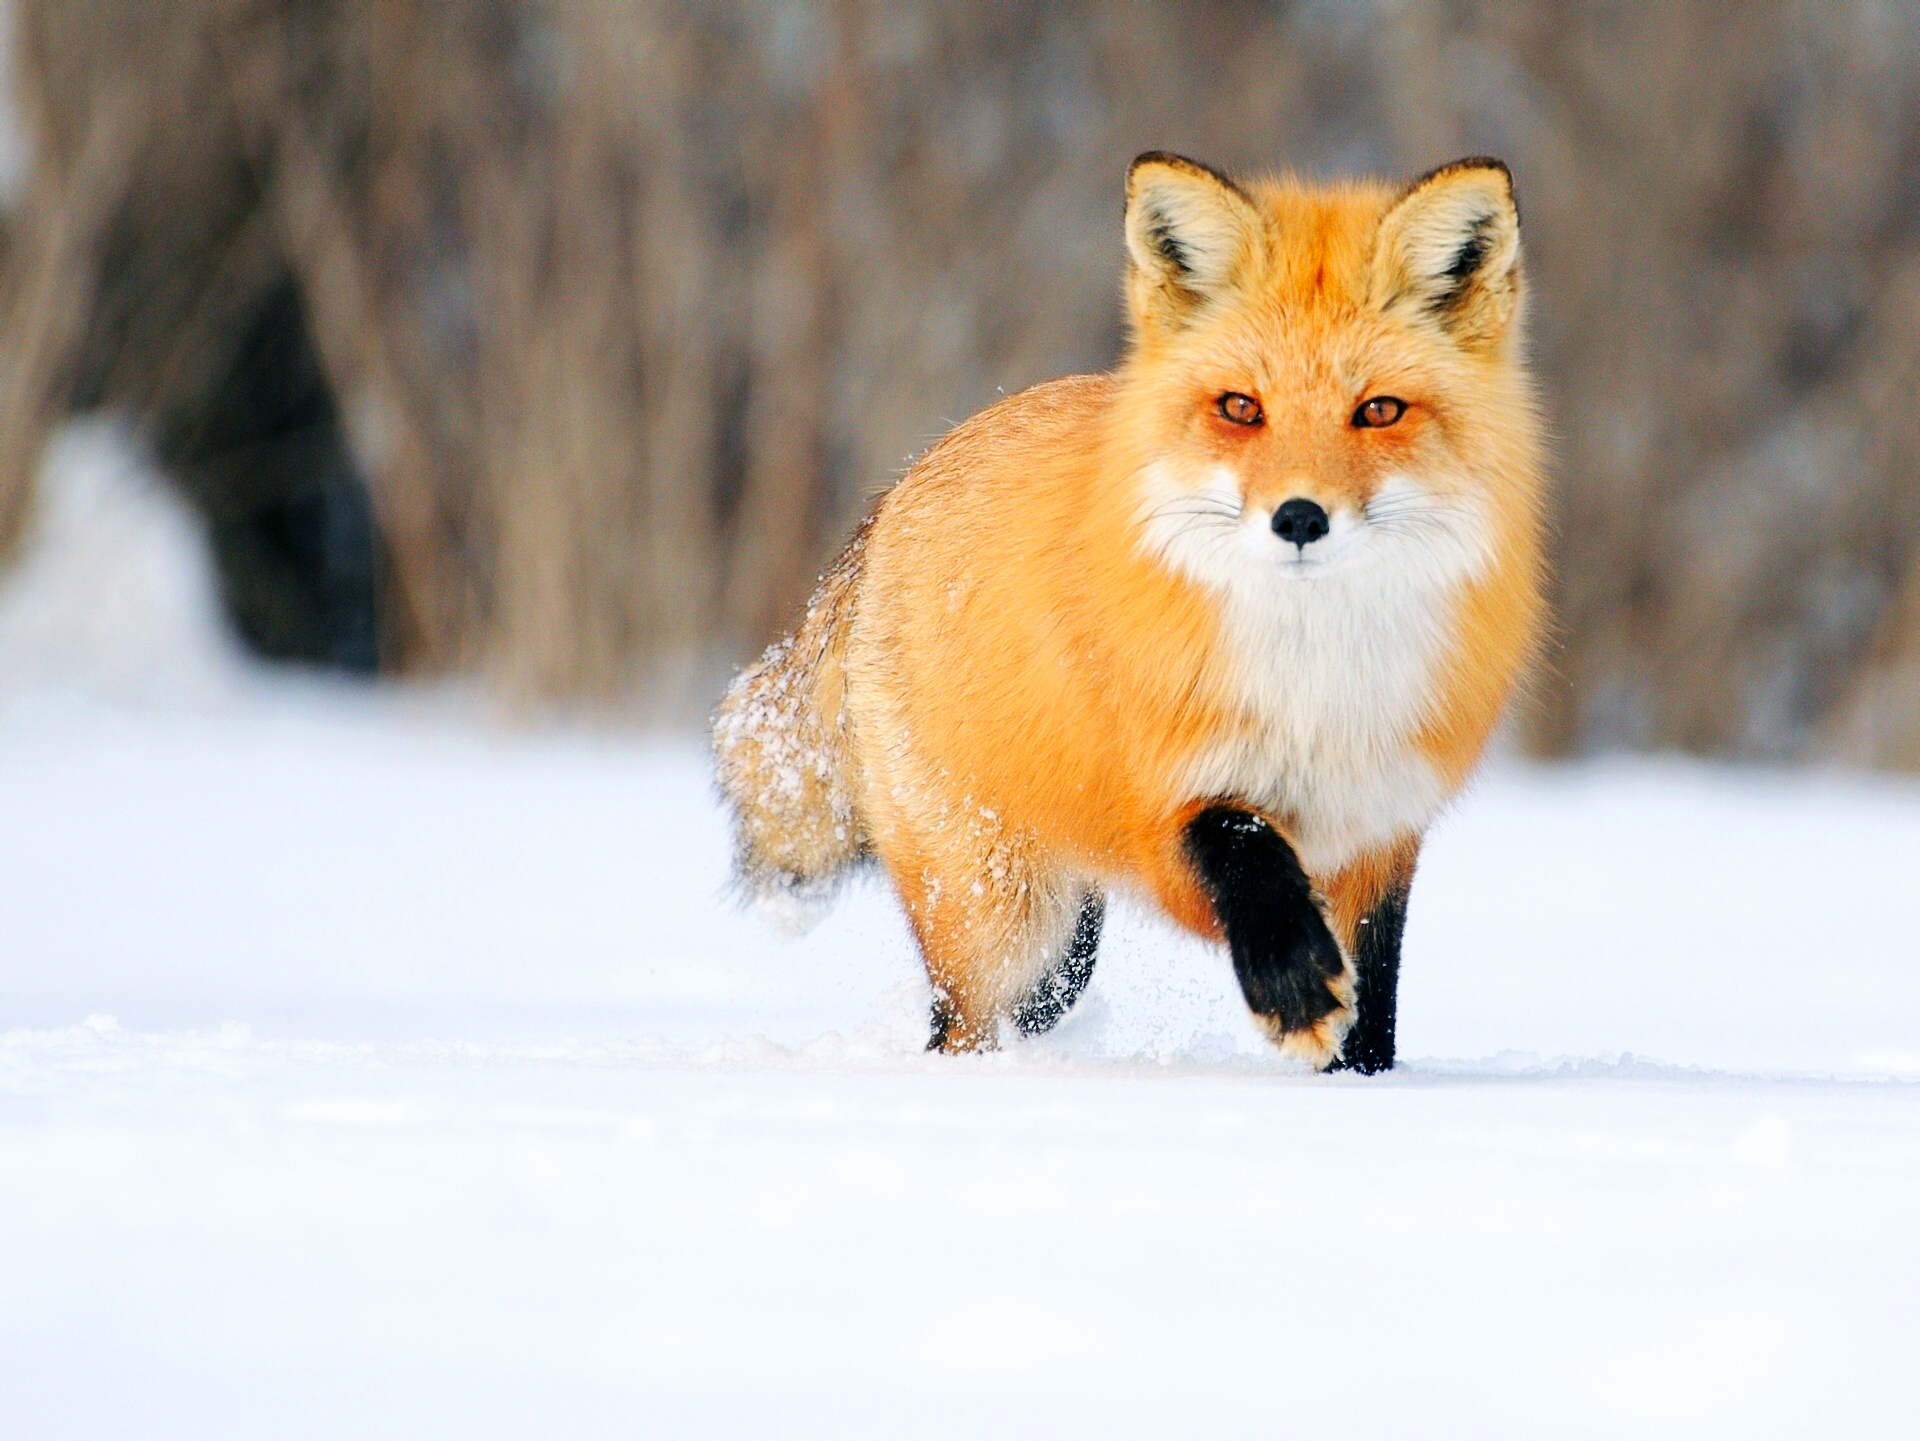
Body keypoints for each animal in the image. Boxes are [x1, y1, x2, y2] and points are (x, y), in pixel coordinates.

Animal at [718, 152, 1543, 1074]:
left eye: (1379, 411)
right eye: (1241, 408)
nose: (1298, 518)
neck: (1312, 688)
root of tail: (897, 490)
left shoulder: (1381, 830)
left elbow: (1374, 1011)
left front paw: (1360, 1081)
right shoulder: (1164, 801)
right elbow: (1245, 846)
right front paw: (1293, 987)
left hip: (1060, 949)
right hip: (1000, 921)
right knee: (958, 1026)